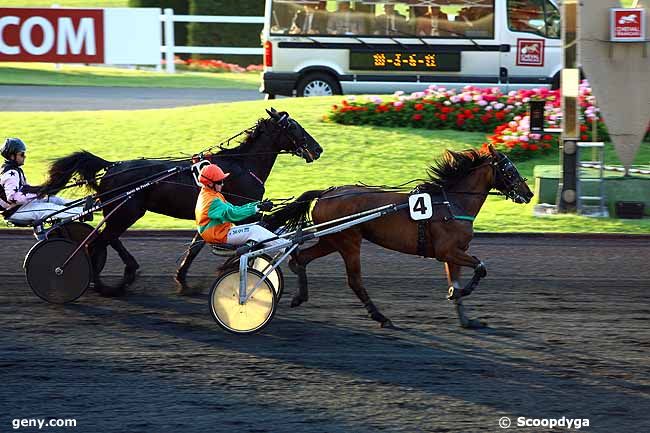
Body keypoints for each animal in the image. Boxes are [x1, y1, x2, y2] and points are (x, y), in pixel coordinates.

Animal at [40, 109, 322, 296]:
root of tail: (112, 167)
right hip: (127, 212)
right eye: (293, 126)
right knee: (98, 242)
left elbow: (195, 247)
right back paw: (101, 283)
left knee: (107, 238)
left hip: (121, 211)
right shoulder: (242, 211)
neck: (243, 165)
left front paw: (184, 281)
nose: (318, 149)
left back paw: (126, 272)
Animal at [264, 144, 532, 328]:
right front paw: (460, 293)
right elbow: (481, 267)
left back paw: (300, 296)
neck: (453, 203)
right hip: (348, 241)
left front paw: (466, 316)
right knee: (354, 281)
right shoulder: (447, 251)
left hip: (333, 238)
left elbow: (456, 280)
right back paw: (381, 317)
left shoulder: (453, 253)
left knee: (300, 258)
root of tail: (327, 192)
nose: (528, 194)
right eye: (510, 170)